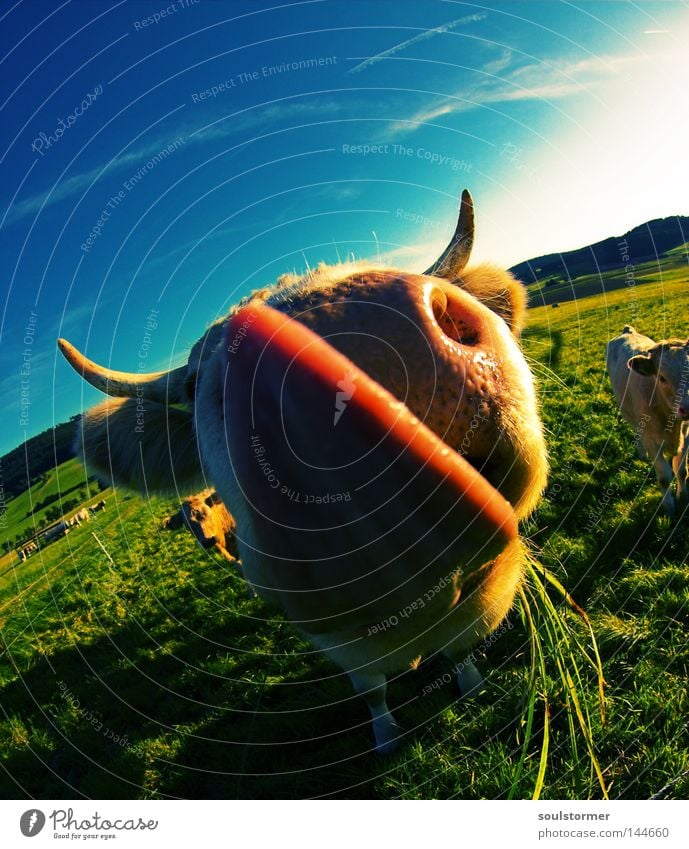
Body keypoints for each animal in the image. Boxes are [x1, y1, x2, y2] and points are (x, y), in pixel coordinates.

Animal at [56, 189, 544, 752]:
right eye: (193, 384)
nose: (346, 331)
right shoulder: (333, 642)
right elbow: (372, 688)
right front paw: (386, 737)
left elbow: (460, 651)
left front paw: (470, 683)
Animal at [604, 326, 684, 516]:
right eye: (662, 378)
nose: (688, 407)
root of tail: (628, 331)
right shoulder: (652, 441)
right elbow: (664, 477)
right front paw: (669, 507)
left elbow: (681, 470)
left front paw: (683, 495)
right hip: (626, 409)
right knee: (635, 430)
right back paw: (641, 453)